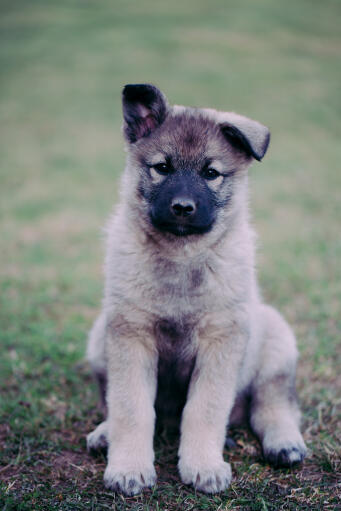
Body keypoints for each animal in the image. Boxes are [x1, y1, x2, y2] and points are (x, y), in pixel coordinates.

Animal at [85, 84, 306, 496]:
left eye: (211, 173)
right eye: (162, 168)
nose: (183, 208)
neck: (181, 255)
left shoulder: (221, 340)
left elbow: (205, 409)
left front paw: (203, 466)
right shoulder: (130, 334)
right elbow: (131, 407)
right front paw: (129, 468)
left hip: (276, 341)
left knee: (272, 402)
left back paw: (284, 443)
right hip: (99, 339)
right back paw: (105, 433)